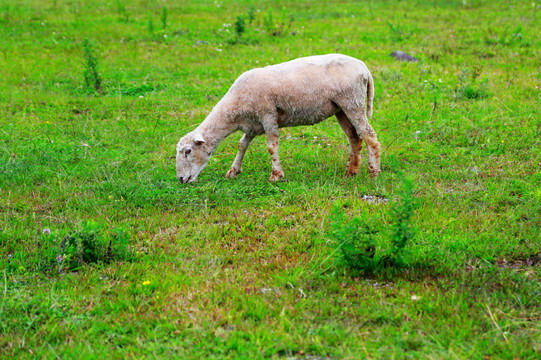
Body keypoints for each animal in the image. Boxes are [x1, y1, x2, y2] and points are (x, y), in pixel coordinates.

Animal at [176, 53, 380, 183]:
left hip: (352, 102)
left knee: (369, 135)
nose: (180, 179)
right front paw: (234, 171)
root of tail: (364, 68)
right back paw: (350, 172)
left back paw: (374, 173)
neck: (235, 109)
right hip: (341, 109)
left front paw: (276, 175)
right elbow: (242, 145)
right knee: (355, 138)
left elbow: (271, 147)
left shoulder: (268, 114)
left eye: (188, 151)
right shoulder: (252, 124)